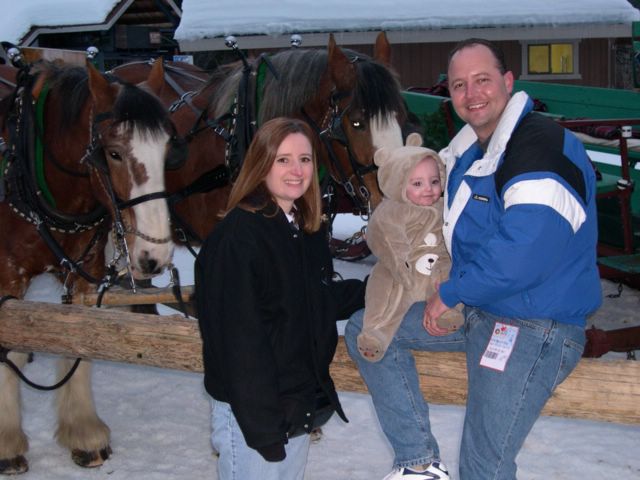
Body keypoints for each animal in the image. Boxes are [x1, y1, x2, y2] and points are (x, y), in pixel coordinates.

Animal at [0, 56, 180, 474]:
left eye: (166, 151)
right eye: (113, 153)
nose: (155, 255)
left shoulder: (85, 272)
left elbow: (80, 338)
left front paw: (83, 433)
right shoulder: (6, 276)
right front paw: (7, 444)